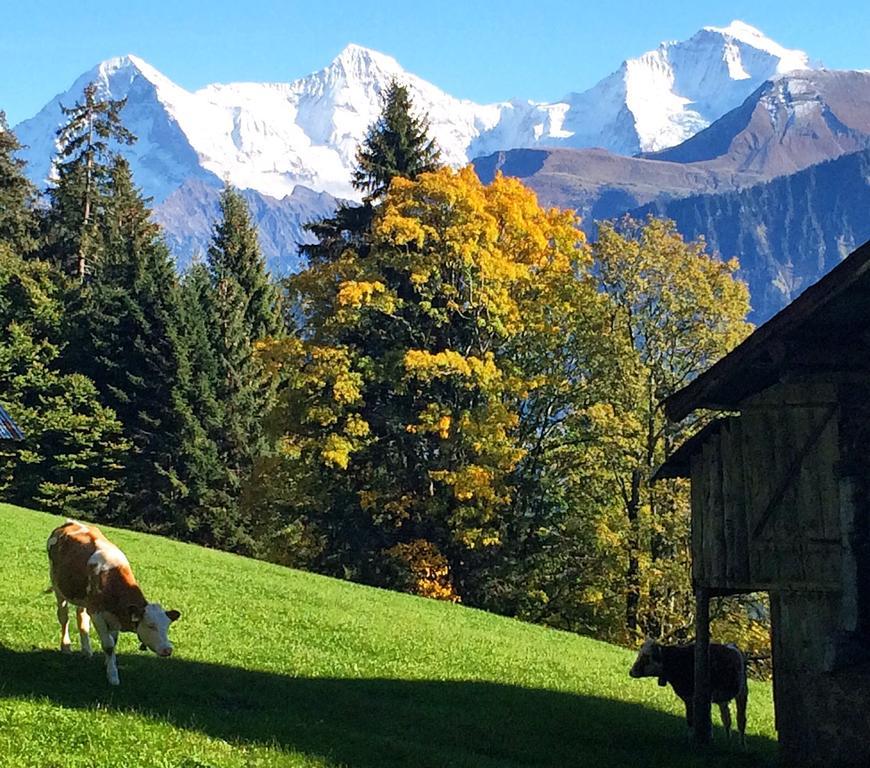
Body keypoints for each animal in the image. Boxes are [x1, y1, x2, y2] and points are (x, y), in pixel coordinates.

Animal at [46, 520, 181, 688]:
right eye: (150, 625)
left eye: (167, 626)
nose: (167, 650)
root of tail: (70, 522)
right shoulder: (97, 613)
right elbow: (109, 645)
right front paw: (112, 675)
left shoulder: (113, 616)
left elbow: (113, 642)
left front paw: (108, 663)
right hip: (58, 586)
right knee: (64, 617)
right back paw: (66, 646)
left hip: (83, 597)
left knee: (81, 617)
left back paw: (86, 650)